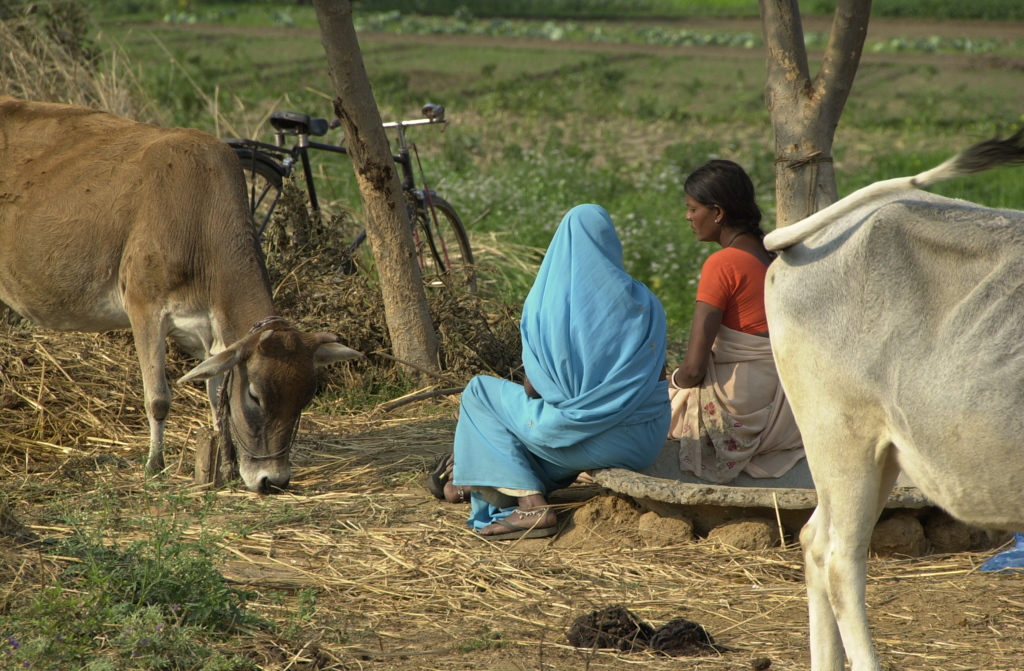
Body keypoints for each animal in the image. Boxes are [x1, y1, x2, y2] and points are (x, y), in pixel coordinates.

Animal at [0, 97, 364, 491]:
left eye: (306, 398)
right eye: (255, 396)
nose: (274, 480)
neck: (199, 220)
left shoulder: (214, 333)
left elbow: (216, 395)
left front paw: (227, 467)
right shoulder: (144, 306)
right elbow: (158, 398)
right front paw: (154, 465)